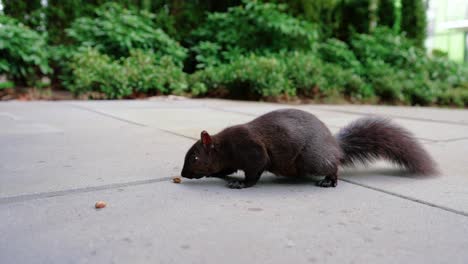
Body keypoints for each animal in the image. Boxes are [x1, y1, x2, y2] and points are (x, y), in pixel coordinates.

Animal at [181, 108, 436, 189]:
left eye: (194, 158)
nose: (184, 174)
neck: (224, 147)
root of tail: (335, 148)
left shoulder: (251, 148)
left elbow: (255, 170)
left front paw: (241, 184)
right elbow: (226, 169)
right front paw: (219, 175)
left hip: (312, 159)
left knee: (333, 167)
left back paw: (329, 180)